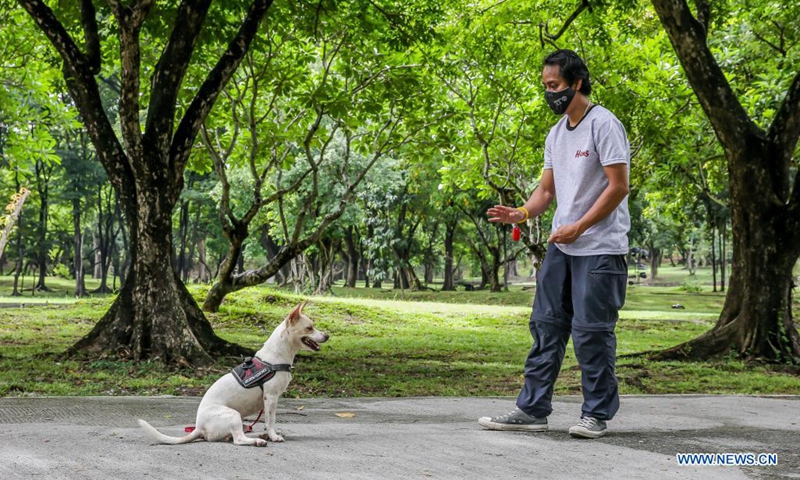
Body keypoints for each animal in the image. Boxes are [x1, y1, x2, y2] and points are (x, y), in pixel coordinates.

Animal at [138, 302, 328, 448]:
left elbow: (268, 421)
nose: (327, 335)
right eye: (309, 328)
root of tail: (199, 427)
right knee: (238, 439)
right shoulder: (270, 398)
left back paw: (259, 436)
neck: (276, 355)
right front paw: (274, 436)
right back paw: (258, 441)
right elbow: (270, 420)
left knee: (235, 436)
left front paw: (270, 434)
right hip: (233, 415)